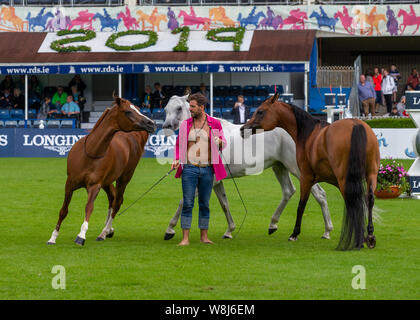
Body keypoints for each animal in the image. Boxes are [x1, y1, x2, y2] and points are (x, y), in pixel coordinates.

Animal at [47, 96, 156, 246]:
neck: (90, 152)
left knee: (117, 202)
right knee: (113, 197)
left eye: (138, 110)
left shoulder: (94, 186)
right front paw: (53, 237)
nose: (151, 123)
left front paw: (81, 235)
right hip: (107, 181)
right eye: (128, 111)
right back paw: (108, 229)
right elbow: (63, 210)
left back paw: (104, 232)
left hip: (124, 177)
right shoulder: (69, 184)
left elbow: (89, 207)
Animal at [162, 96, 334, 241]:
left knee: (320, 194)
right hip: (279, 166)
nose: (166, 127)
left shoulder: (210, 180)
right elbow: (224, 204)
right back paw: (273, 225)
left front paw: (169, 230)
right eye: (165, 109)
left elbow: (184, 201)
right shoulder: (216, 181)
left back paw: (326, 231)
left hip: (298, 170)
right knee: (288, 191)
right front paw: (229, 231)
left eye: (179, 108)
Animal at [240, 94, 380, 251]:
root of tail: (356, 125)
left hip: (345, 180)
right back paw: (369, 236)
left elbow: (301, 205)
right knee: (368, 199)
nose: (243, 129)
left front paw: (295, 233)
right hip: (370, 176)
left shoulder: (306, 178)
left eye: (260, 111)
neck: (308, 133)